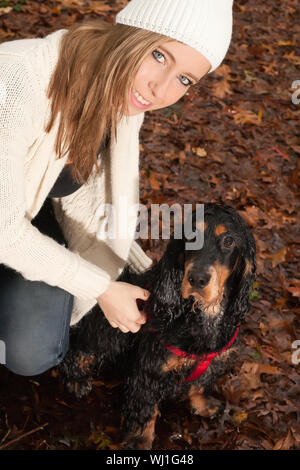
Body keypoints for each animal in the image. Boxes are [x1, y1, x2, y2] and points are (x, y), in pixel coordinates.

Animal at [58, 202, 255, 448]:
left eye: (229, 241)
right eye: (191, 236)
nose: (197, 279)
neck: (202, 316)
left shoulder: (214, 359)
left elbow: (199, 383)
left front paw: (203, 404)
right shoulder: (149, 369)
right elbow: (146, 410)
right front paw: (139, 440)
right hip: (110, 331)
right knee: (79, 350)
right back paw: (76, 379)